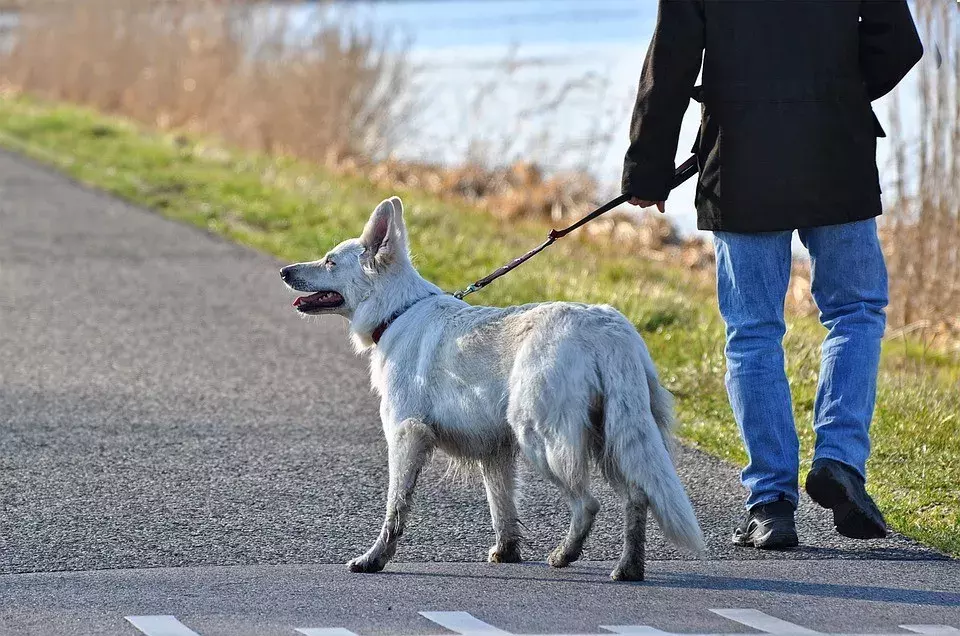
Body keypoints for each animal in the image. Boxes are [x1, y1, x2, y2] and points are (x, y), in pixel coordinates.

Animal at [280, 196, 704, 580]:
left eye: (330, 261)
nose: (284, 270)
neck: (397, 312)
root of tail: (608, 328)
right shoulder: (495, 452)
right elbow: (502, 508)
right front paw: (507, 552)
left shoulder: (406, 436)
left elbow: (395, 509)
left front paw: (374, 559)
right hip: (613, 438)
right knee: (637, 497)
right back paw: (628, 568)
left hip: (542, 439)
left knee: (588, 504)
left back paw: (565, 555)